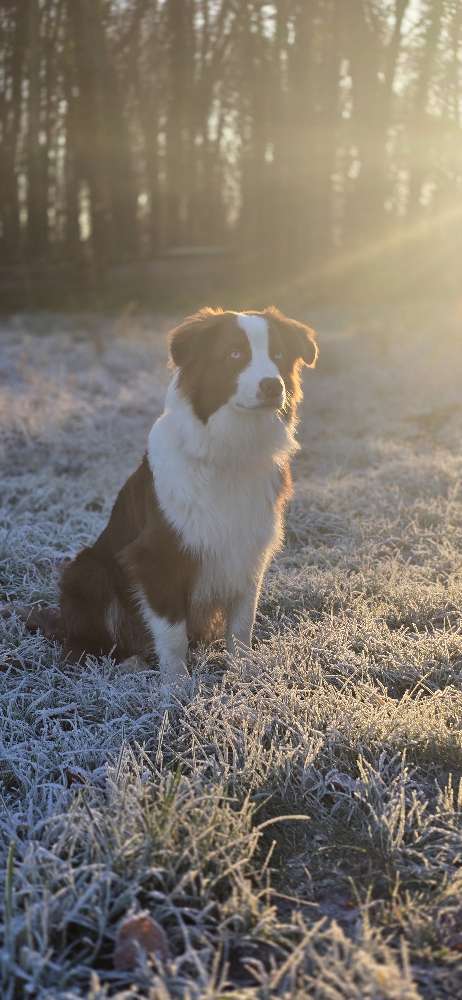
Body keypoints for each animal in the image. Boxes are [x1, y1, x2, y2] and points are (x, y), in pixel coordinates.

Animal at [41, 308, 318, 692]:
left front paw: (244, 673)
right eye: (234, 354)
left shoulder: (247, 552)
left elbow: (241, 624)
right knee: (83, 648)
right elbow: (172, 632)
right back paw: (127, 663)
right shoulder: (156, 556)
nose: (272, 385)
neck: (229, 450)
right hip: (86, 570)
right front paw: (176, 687)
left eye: (277, 355)